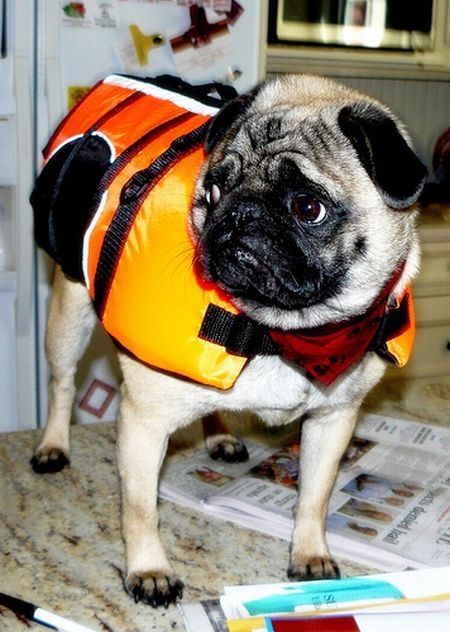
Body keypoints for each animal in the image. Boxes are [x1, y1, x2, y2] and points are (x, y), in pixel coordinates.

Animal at [30, 74, 426, 608]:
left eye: (308, 207)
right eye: (215, 191)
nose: (240, 214)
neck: (282, 332)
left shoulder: (333, 419)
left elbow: (315, 497)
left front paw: (310, 555)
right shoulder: (143, 423)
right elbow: (140, 509)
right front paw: (149, 570)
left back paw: (220, 436)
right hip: (69, 314)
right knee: (63, 382)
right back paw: (53, 445)